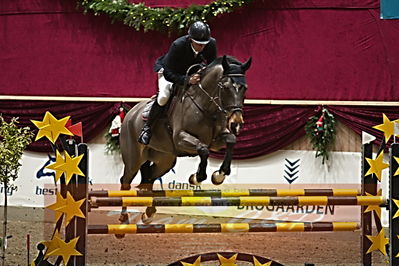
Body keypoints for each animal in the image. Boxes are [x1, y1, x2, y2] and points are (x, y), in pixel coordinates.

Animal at [117, 55, 253, 228]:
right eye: (226, 87)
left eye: (245, 88)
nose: (236, 123)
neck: (207, 106)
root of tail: (130, 113)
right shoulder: (181, 138)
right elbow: (203, 149)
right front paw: (197, 177)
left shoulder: (217, 141)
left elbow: (231, 140)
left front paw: (220, 174)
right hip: (134, 159)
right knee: (125, 181)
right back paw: (123, 217)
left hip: (165, 160)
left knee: (149, 179)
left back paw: (148, 213)